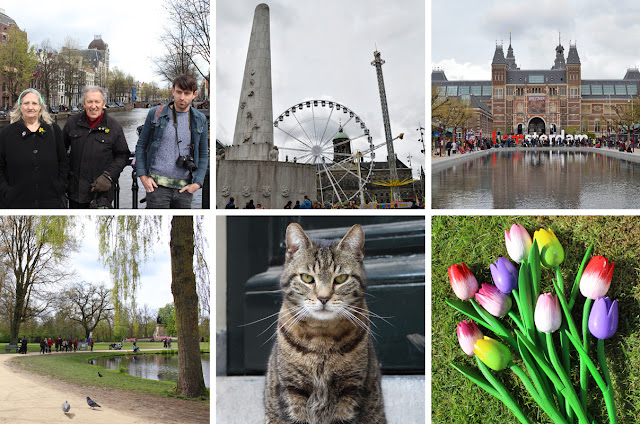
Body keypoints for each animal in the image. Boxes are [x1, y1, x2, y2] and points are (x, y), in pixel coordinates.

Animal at [264, 224, 384, 422]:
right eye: (307, 278)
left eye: (341, 279)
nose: (323, 298)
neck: (322, 337)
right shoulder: (292, 388)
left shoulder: (351, 388)